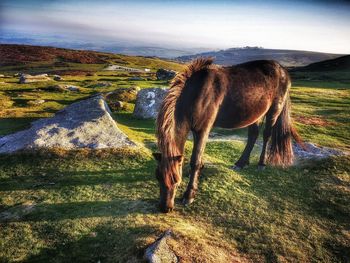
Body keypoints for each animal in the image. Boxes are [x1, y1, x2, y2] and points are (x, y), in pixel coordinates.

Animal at [154, 57, 302, 212]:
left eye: (176, 179)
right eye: (157, 177)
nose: (165, 208)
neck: (196, 92)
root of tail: (283, 70)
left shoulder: (203, 130)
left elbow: (195, 161)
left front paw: (189, 195)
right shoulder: (196, 130)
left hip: (274, 111)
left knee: (266, 135)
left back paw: (262, 163)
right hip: (254, 114)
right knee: (253, 135)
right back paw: (241, 163)